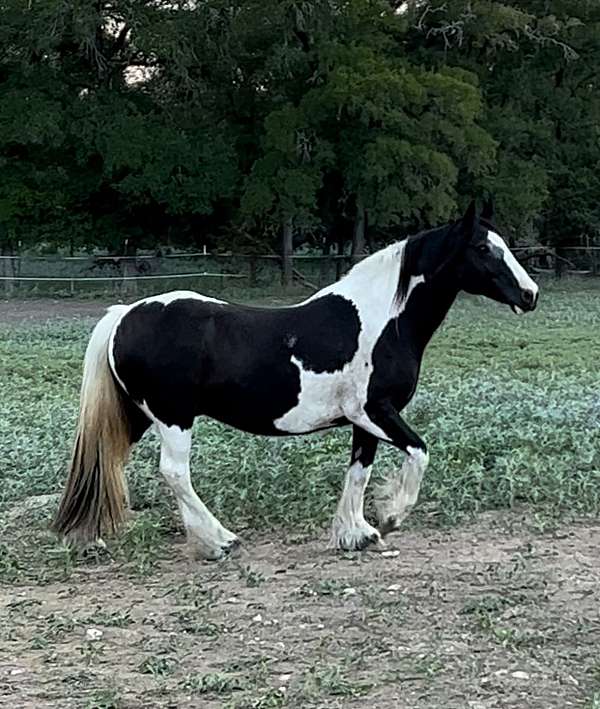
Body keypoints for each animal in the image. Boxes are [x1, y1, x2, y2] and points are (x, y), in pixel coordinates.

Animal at [52, 199, 540, 560]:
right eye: (483, 249)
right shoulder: (376, 411)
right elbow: (419, 453)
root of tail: (124, 315)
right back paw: (219, 541)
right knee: (174, 473)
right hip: (173, 417)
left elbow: (359, 472)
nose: (530, 294)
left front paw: (356, 534)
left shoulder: (364, 422)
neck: (383, 320)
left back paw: (92, 537)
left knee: (107, 462)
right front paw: (391, 516)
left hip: (139, 416)